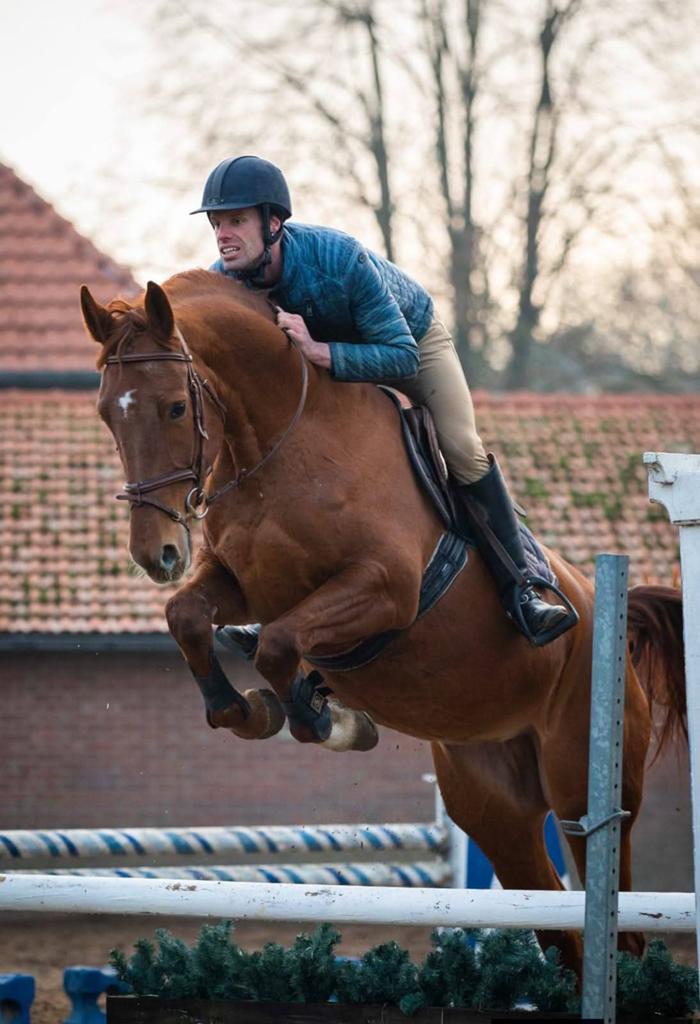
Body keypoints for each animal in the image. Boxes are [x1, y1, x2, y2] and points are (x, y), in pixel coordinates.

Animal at [81, 270, 686, 975]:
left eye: (177, 407)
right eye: (106, 413)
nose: (156, 554)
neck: (282, 441)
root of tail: (611, 619)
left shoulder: (385, 590)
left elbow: (280, 644)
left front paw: (326, 719)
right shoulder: (243, 585)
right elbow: (189, 617)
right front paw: (248, 710)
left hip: (582, 785)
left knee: (617, 916)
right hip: (493, 803)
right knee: (556, 924)